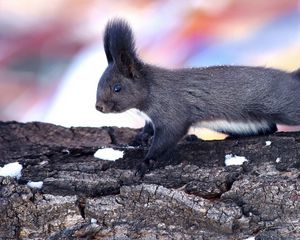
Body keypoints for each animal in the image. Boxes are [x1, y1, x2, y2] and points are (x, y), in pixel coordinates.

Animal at [95, 17, 300, 173]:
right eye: (99, 82)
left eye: (117, 88)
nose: (99, 107)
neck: (151, 90)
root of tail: (292, 78)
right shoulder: (151, 118)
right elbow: (148, 128)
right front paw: (139, 138)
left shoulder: (172, 112)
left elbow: (167, 137)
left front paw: (146, 162)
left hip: (284, 105)